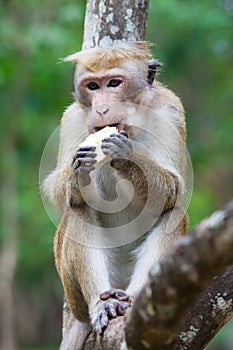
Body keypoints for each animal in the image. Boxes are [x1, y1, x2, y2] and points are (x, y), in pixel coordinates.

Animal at [42, 41, 188, 340]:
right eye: (93, 86)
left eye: (113, 83)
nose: (101, 109)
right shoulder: (73, 117)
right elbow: (56, 190)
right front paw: (78, 173)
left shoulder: (169, 109)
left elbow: (175, 188)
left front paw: (126, 157)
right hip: (73, 294)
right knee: (78, 210)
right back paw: (103, 304)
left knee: (174, 212)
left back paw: (131, 299)